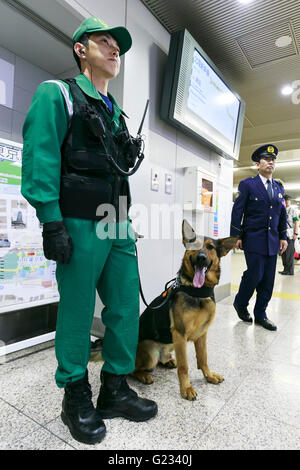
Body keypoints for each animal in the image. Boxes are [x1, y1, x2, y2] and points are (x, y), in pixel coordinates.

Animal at [131, 220, 237, 400]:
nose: (201, 258)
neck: (198, 292)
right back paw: (144, 375)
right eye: (194, 245)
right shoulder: (180, 333)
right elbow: (184, 366)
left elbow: (203, 358)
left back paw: (168, 361)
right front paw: (186, 388)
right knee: (131, 370)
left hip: (171, 344)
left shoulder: (201, 334)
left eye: (210, 247)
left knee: (163, 359)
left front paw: (209, 376)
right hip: (152, 350)